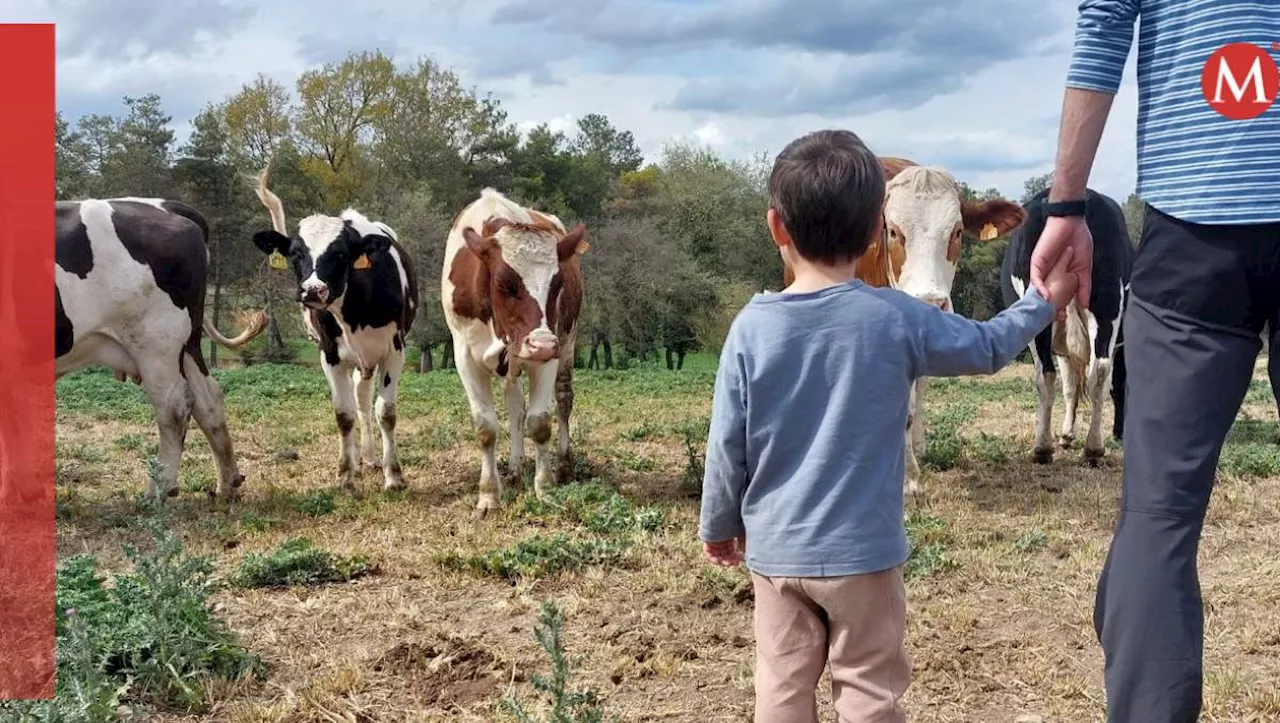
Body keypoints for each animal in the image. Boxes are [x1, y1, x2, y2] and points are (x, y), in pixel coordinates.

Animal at [55, 197, 270, 501]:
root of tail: (165, 205)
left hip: (157, 344)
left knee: (175, 406)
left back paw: (159, 489)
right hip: (187, 344)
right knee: (208, 401)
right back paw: (227, 484)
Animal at [252, 163, 422, 491]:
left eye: (341, 254)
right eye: (295, 254)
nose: (313, 290)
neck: (354, 312)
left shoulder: (394, 350)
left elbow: (386, 412)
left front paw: (394, 474)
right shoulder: (329, 354)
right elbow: (343, 414)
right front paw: (345, 474)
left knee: (365, 399)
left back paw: (371, 457)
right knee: (357, 402)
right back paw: (358, 459)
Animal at [442, 185, 586, 511]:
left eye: (557, 283)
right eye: (504, 283)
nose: (542, 344)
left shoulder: (547, 352)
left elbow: (540, 423)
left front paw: (545, 489)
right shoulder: (464, 358)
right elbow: (486, 428)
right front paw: (488, 495)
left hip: (566, 343)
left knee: (563, 399)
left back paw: (564, 463)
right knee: (515, 406)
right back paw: (516, 467)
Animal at [1003, 185, 1136, 465]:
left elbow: (1069, 386)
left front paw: (1065, 435)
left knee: (1046, 373)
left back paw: (1044, 447)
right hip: (1106, 300)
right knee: (1100, 370)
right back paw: (1094, 448)